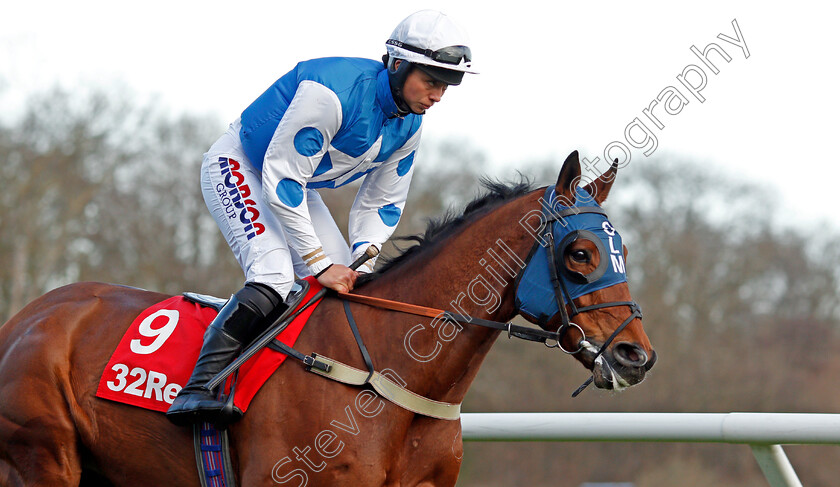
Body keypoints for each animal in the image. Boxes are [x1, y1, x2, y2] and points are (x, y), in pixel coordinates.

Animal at [0, 151, 652, 486]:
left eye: (622, 249)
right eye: (580, 253)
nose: (636, 355)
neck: (390, 373)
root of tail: (27, 317)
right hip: (41, 456)